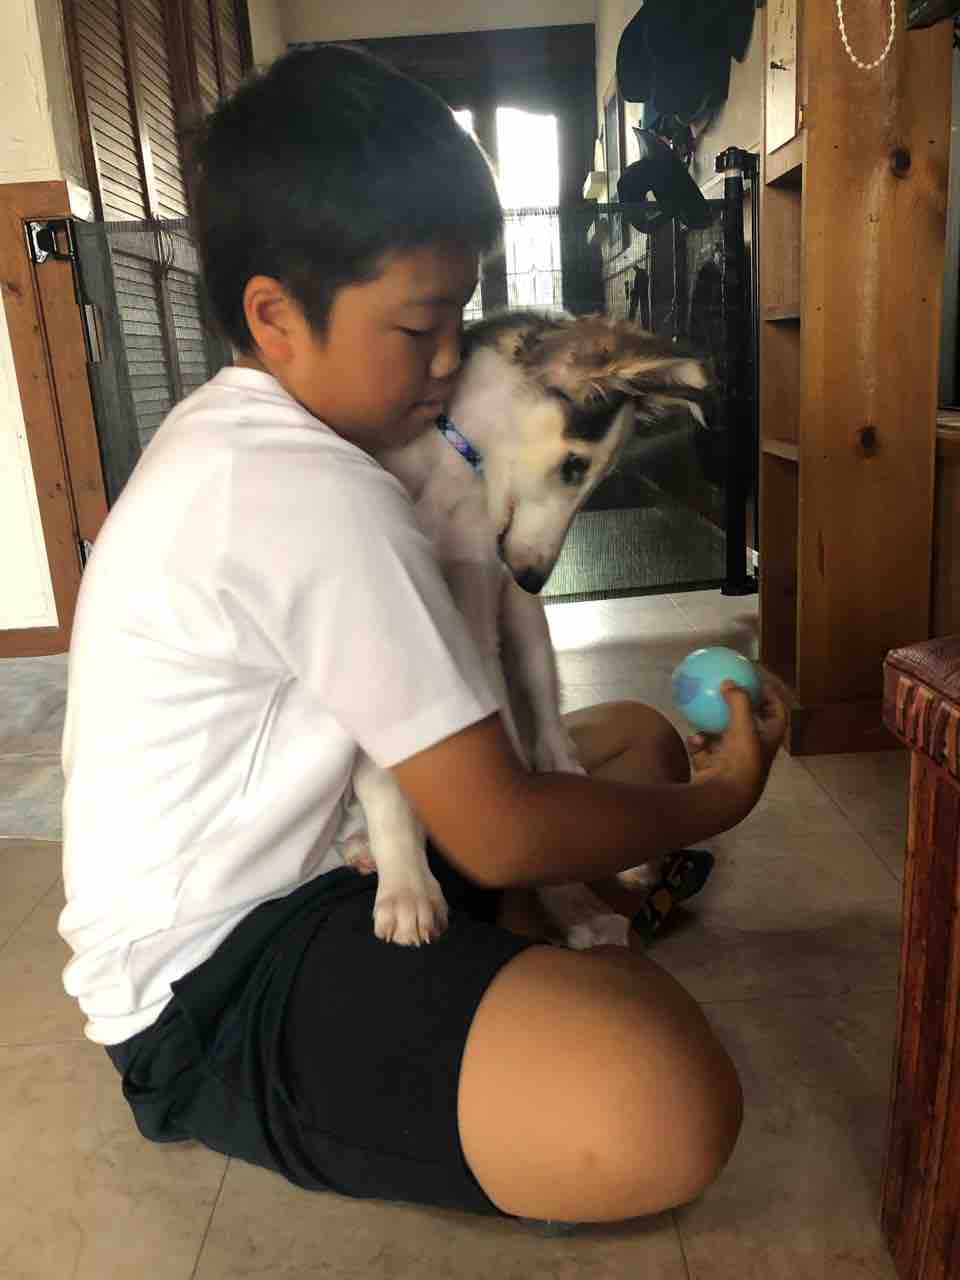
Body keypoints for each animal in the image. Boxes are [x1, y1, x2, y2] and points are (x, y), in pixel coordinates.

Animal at [337, 309, 708, 946]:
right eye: (574, 466)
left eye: (595, 480)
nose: (532, 578)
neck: (450, 471)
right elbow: (386, 776)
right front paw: (407, 887)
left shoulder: (477, 623)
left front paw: (569, 897)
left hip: (528, 636)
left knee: (551, 749)